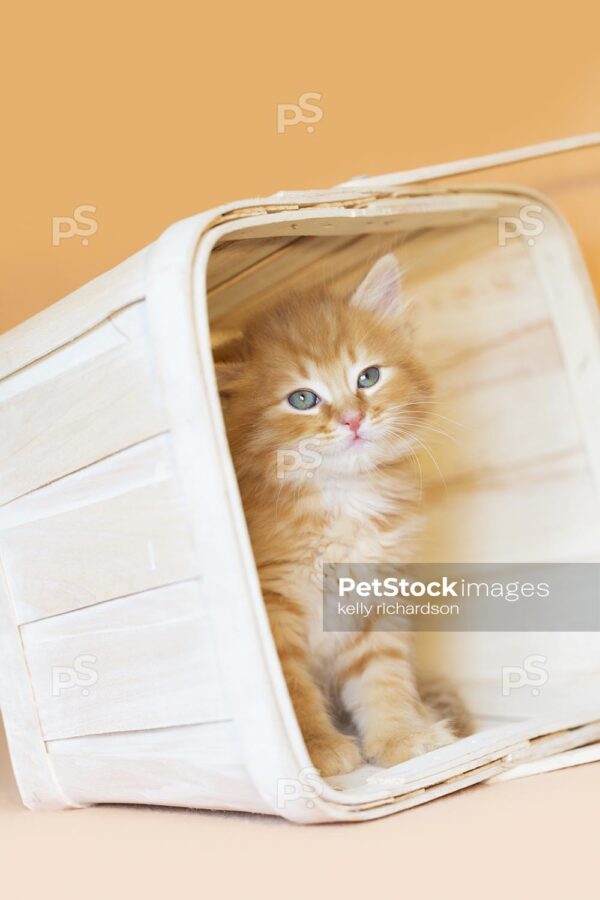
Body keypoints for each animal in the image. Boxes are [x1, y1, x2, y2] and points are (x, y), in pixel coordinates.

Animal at [217, 256, 468, 776]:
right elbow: (292, 690)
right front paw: (317, 750)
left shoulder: (375, 599)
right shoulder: (274, 609)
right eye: (302, 399)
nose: (353, 419)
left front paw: (400, 736)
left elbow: (382, 677)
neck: (343, 496)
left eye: (367, 377)